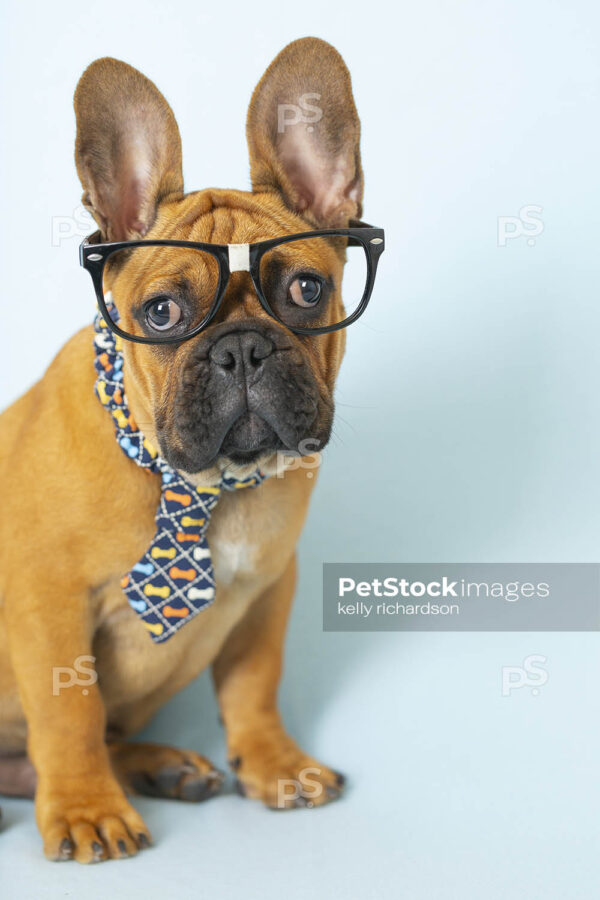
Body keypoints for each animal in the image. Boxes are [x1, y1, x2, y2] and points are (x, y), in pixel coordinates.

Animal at [0, 38, 370, 860]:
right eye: (162, 312)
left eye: (306, 290)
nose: (241, 348)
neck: (198, 484)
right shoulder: (49, 606)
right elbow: (69, 713)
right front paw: (85, 808)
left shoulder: (267, 589)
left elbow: (254, 683)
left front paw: (275, 764)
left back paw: (162, 766)